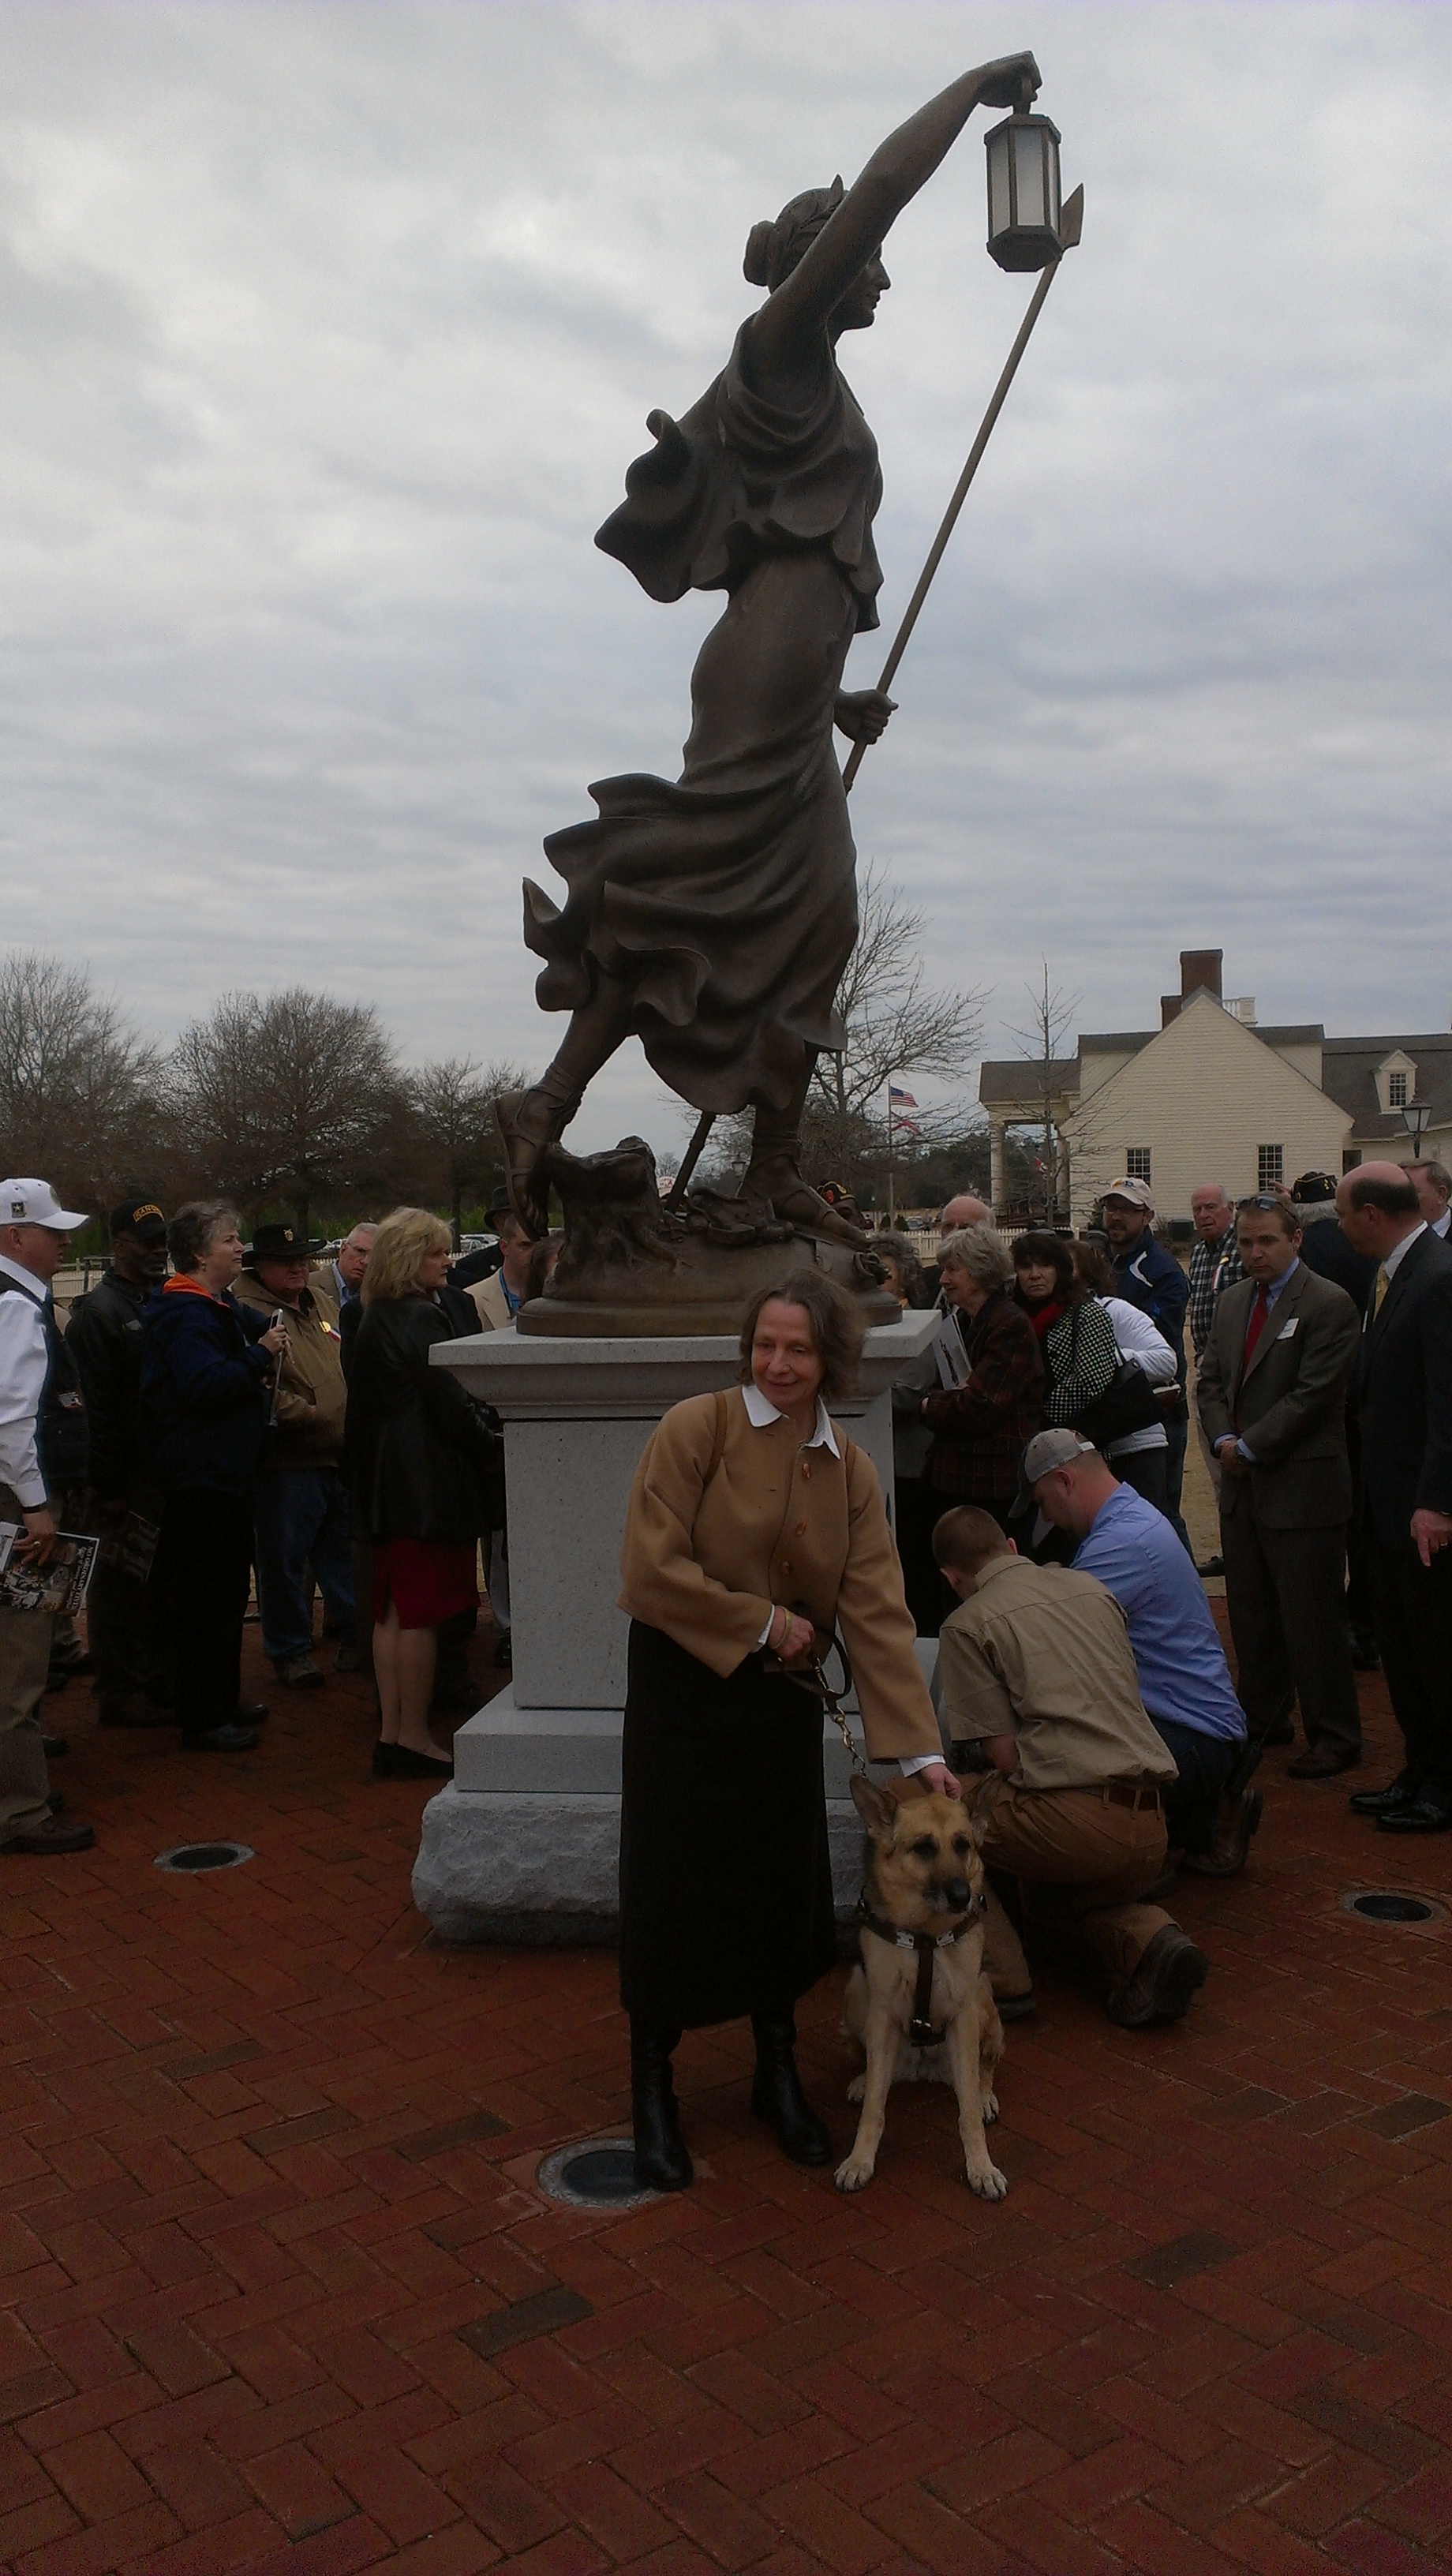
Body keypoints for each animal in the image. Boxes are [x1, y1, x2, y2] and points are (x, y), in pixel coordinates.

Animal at [834, 1782, 1004, 2204]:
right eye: (924, 1848)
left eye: (963, 1845)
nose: (962, 1896)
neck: (926, 1934)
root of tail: (922, 2067)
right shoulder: (880, 2014)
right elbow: (874, 2110)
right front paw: (859, 2161)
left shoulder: (963, 2015)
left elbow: (968, 2113)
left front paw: (981, 2168)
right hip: (856, 1993)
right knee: (873, 2069)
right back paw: (864, 2078)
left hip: (984, 2004)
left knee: (984, 2068)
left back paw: (985, 2093)